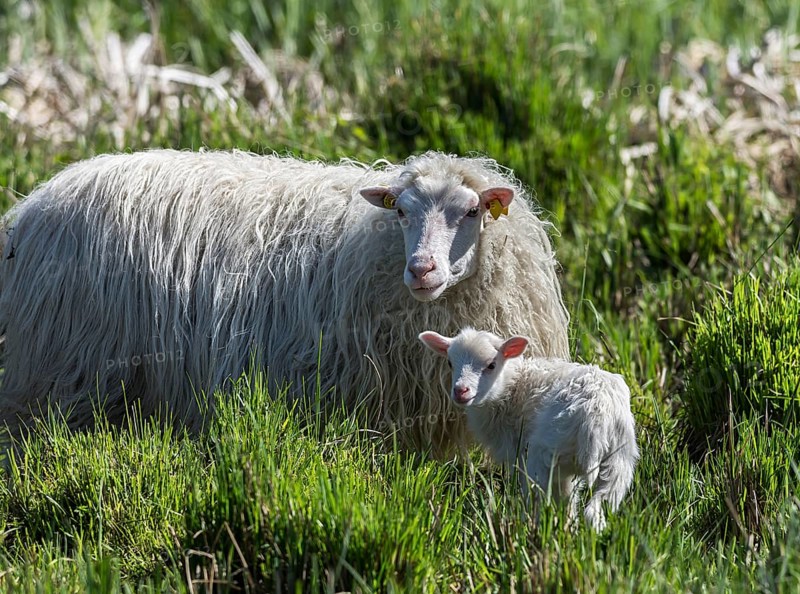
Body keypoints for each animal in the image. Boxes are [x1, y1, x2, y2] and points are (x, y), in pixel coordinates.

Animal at [419, 327, 638, 530]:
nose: (460, 391)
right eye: (450, 362)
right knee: (597, 506)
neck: (511, 387)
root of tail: (596, 414)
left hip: (544, 454)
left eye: (491, 365)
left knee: (539, 500)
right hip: (619, 461)